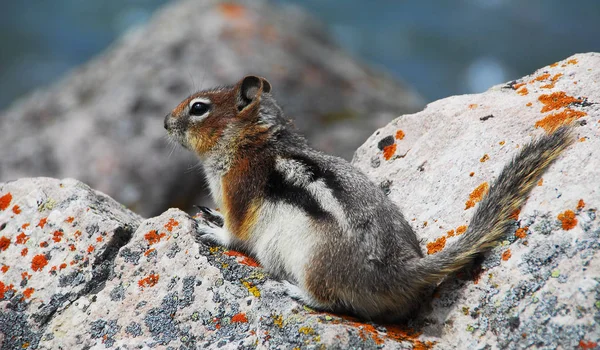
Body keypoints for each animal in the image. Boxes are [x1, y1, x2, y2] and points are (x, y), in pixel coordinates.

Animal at [163, 75, 572, 322]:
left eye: (198, 108)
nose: (165, 122)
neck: (250, 143)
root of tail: (403, 270)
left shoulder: (239, 194)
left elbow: (235, 233)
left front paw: (212, 229)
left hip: (315, 264)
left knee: (330, 300)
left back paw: (292, 289)